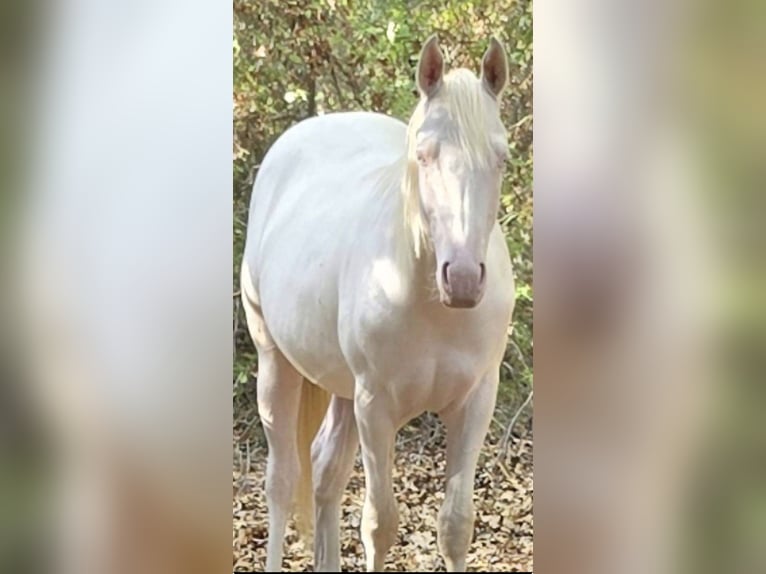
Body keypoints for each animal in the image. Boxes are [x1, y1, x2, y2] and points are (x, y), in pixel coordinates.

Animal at [241, 35, 516, 572]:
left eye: (501, 158)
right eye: (424, 156)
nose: (463, 279)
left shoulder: (476, 402)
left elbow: (455, 526)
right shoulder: (376, 408)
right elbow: (379, 524)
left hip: (342, 391)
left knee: (325, 471)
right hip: (276, 364)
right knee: (282, 481)